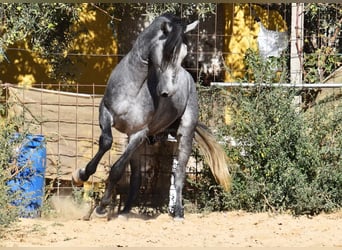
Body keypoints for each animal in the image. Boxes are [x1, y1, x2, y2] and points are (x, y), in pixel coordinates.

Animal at [73, 13, 231, 219]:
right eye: (167, 52)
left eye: (184, 54)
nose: (168, 92)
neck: (133, 88)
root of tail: (190, 79)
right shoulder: (106, 113)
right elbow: (106, 142)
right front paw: (81, 175)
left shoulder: (139, 133)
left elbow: (117, 169)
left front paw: (101, 207)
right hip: (137, 143)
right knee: (136, 177)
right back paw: (125, 212)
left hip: (183, 135)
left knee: (179, 174)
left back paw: (178, 212)